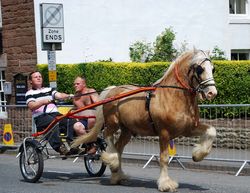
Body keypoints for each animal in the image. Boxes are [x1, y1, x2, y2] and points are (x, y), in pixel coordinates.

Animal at [72, 48, 217, 191]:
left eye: (213, 68)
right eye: (200, 69)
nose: (212, 93)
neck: (172, 96)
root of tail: (112, 90)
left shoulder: (188, 129)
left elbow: (211, 131)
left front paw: (198, 155)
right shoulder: (164, 133)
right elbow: (164, 158)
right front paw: (165, 184)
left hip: (127, 130)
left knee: (118, 148)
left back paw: (118, 176)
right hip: (113, 123)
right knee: (108, 137)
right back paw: (112, 161)